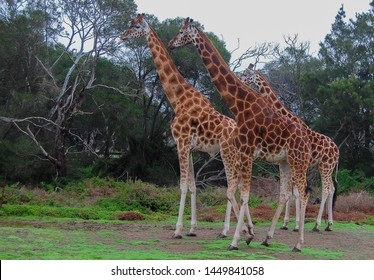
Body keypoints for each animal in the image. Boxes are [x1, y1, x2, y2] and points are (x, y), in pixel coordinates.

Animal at [120, 13, 254, 241]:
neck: (178, 99)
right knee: (235, 186)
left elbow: (182, 185)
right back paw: (246, 229)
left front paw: (177, 229)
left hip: (227, 153)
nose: (122, 35)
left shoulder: (181, 142)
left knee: (232, 185)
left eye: (136, 27)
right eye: (130, 24)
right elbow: (192, 186)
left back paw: (235, 230)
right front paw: (192, 228)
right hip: (234, 156)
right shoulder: (189, 147)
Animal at [169, 18, 312, 252]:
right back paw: (268, 238)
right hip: (285, 162)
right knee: (286, 194)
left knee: (304, 192)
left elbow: (244, 195)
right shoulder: (245, 153)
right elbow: (235, 192)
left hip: (298, 160)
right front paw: (247, 234)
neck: (240, 106)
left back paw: (298, 243)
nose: (171, 44)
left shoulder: (246, 151)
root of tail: (308, 142)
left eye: (181, 32)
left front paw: (236, 240)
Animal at [240, 64, 338, 232]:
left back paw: (317, 225)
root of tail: (338, 151)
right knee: (331, 188)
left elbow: (296, 192)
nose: (240, 79)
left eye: (246, 74)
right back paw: (329, 225)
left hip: (326, 166)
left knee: (326, 189)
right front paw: (287, 223)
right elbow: (292, 191)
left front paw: (297, 224)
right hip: (324, 167)